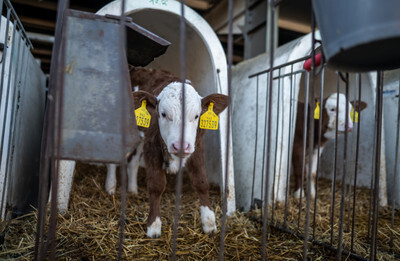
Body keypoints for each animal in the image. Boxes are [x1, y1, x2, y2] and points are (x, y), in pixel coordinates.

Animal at [104, 66, 228, 237]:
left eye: (196, 116)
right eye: (163, 114)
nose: (180, 146)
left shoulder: (197, 146)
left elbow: (201, 181)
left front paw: (209, 222)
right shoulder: (152, 146)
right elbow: (156, 185)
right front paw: (154, 226)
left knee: (133, 162)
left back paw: (133, 189)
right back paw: (110, 187)